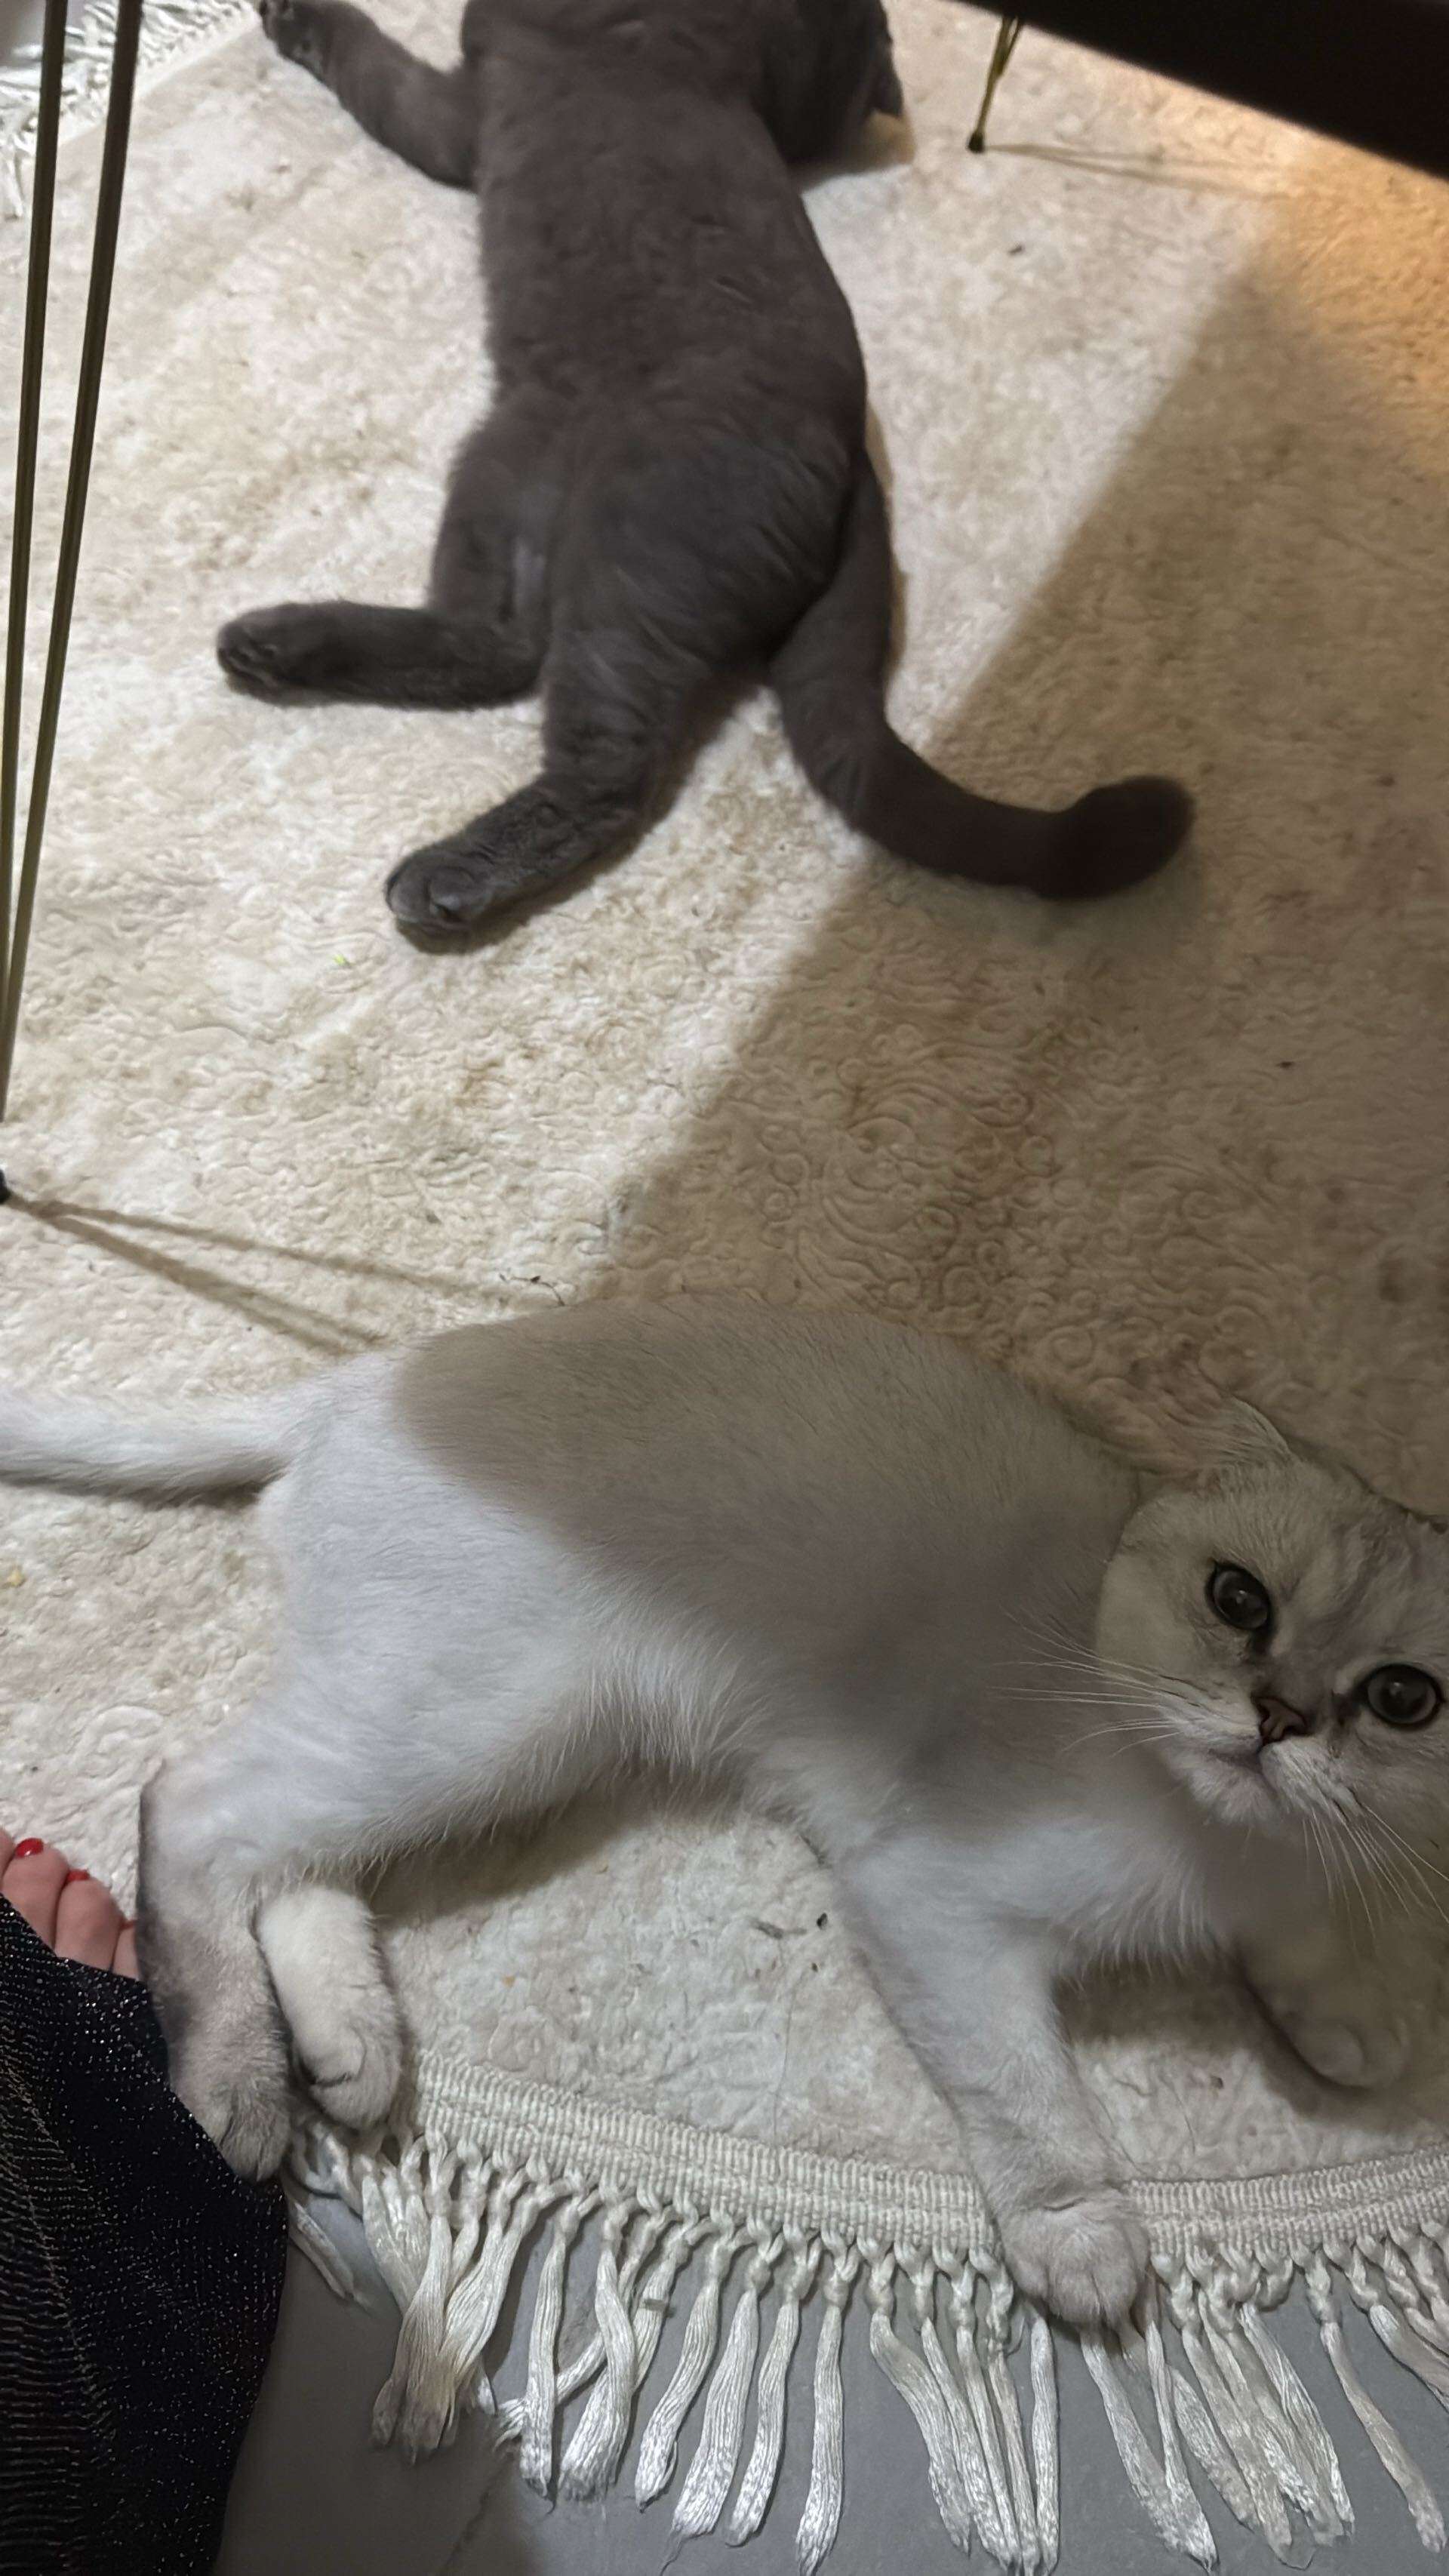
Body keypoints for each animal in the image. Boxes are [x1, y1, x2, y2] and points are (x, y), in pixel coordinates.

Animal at [4, 1297, 1445, 2329]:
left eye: (1403, 1697)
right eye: (1237, 1600)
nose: (1277, 1717)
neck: (1222, 1844)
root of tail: (353, 1386)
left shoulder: (1286, 1875)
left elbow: (1314, 1938)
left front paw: (1353, 2025)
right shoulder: (930, 1905)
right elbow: (1036, 2106)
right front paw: (1083, 2241)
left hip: (445, 1732)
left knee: (287, 1852)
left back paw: (351, 2049)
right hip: (489, 1720)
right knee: (198, 1806)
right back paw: (234, 2087)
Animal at [217, 0, 1192, 936]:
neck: (714, 39)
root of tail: (854, 465)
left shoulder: (467, 105)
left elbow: (380, 73)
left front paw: (303, 19)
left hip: (636, 549)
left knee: (606, 764)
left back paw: (447, 876)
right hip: (501, 463)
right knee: (495, 646)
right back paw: (273, 645)